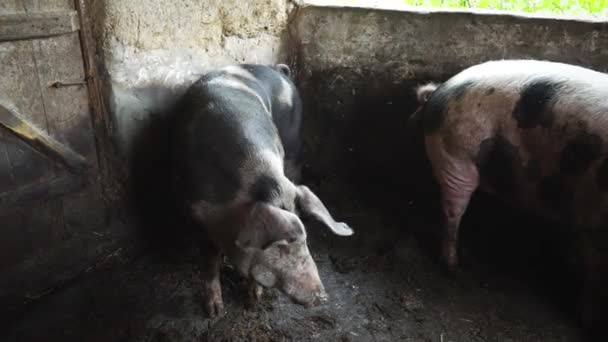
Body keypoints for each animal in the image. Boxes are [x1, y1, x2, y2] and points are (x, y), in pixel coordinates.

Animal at [414, 58, 608, 334]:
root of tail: (439, 91)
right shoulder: (593, 221)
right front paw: (588, 323)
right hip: (456, 157)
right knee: (452, 212)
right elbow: (594, 275)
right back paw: (454, 268)